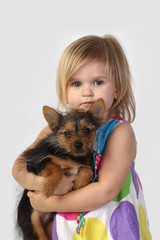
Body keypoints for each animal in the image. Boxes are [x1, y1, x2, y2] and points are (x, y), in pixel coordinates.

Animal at [16, 98, 104, 239]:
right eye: (66, 133)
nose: (78, 144)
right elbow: (55, 166)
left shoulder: (85, 163)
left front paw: (80, 182)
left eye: (86, 130)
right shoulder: (35, 162)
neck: (69, 154)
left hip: (50, 226)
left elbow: (87, 169)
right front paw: (49, 187)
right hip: (33, 226)